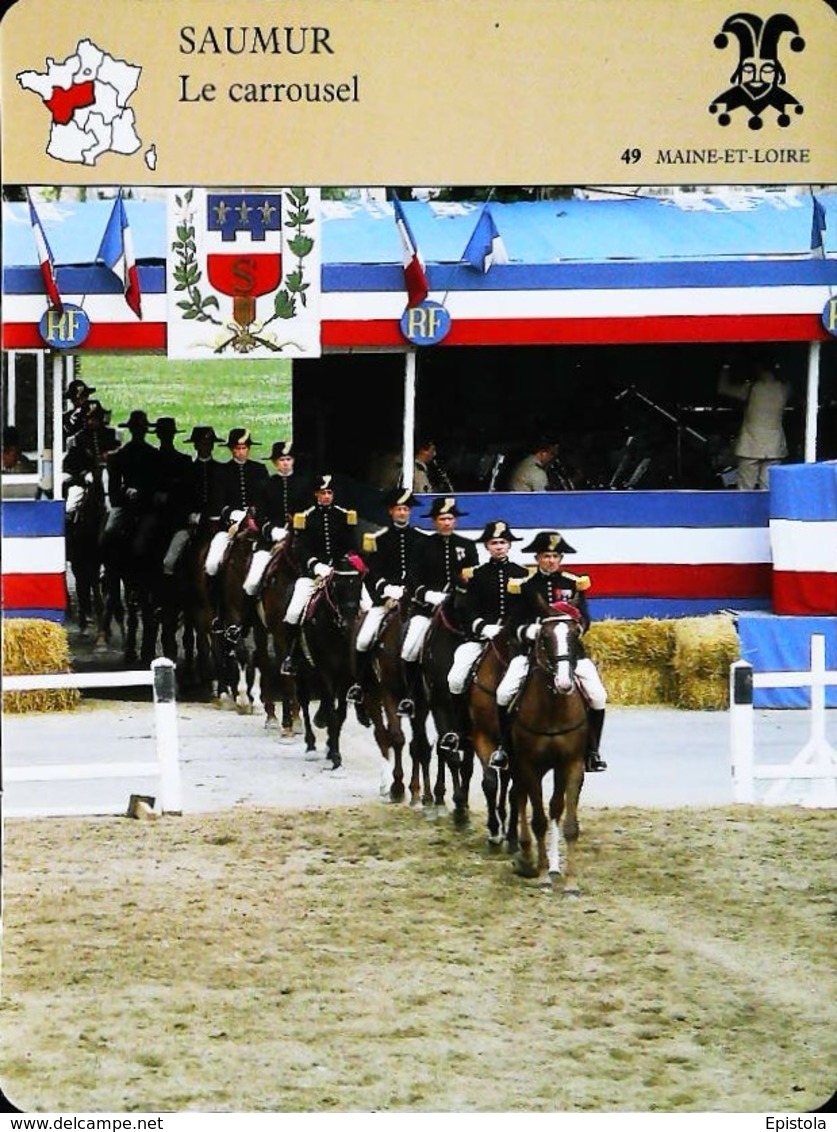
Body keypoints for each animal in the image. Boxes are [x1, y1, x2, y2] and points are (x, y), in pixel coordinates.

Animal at [505, 611, 588, 892]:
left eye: (574, 636)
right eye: (544, 638)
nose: (564, 683)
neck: (553, 707)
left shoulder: (572, 764)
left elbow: (569, 823)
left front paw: (571, 881)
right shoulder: (529, 765)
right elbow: (538, 821)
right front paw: (541, 875)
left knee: (554, 807)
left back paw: (552, 865)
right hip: (518, 766)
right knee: (518, 798)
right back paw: (527, 856)